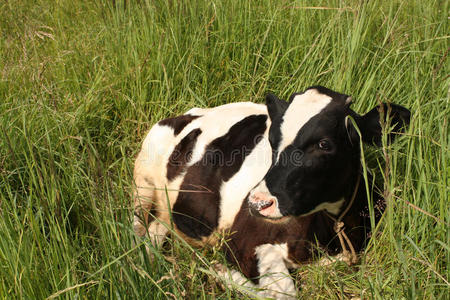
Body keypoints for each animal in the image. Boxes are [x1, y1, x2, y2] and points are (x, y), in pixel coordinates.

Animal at [132, 85, 410, 298]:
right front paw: (221, 271)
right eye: (272, 140)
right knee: (139, 230)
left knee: (156, 230)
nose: (258, 202)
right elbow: (284, 293)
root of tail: (190, 113)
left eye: (324, 143)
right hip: (142, 184)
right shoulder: (243, 240)